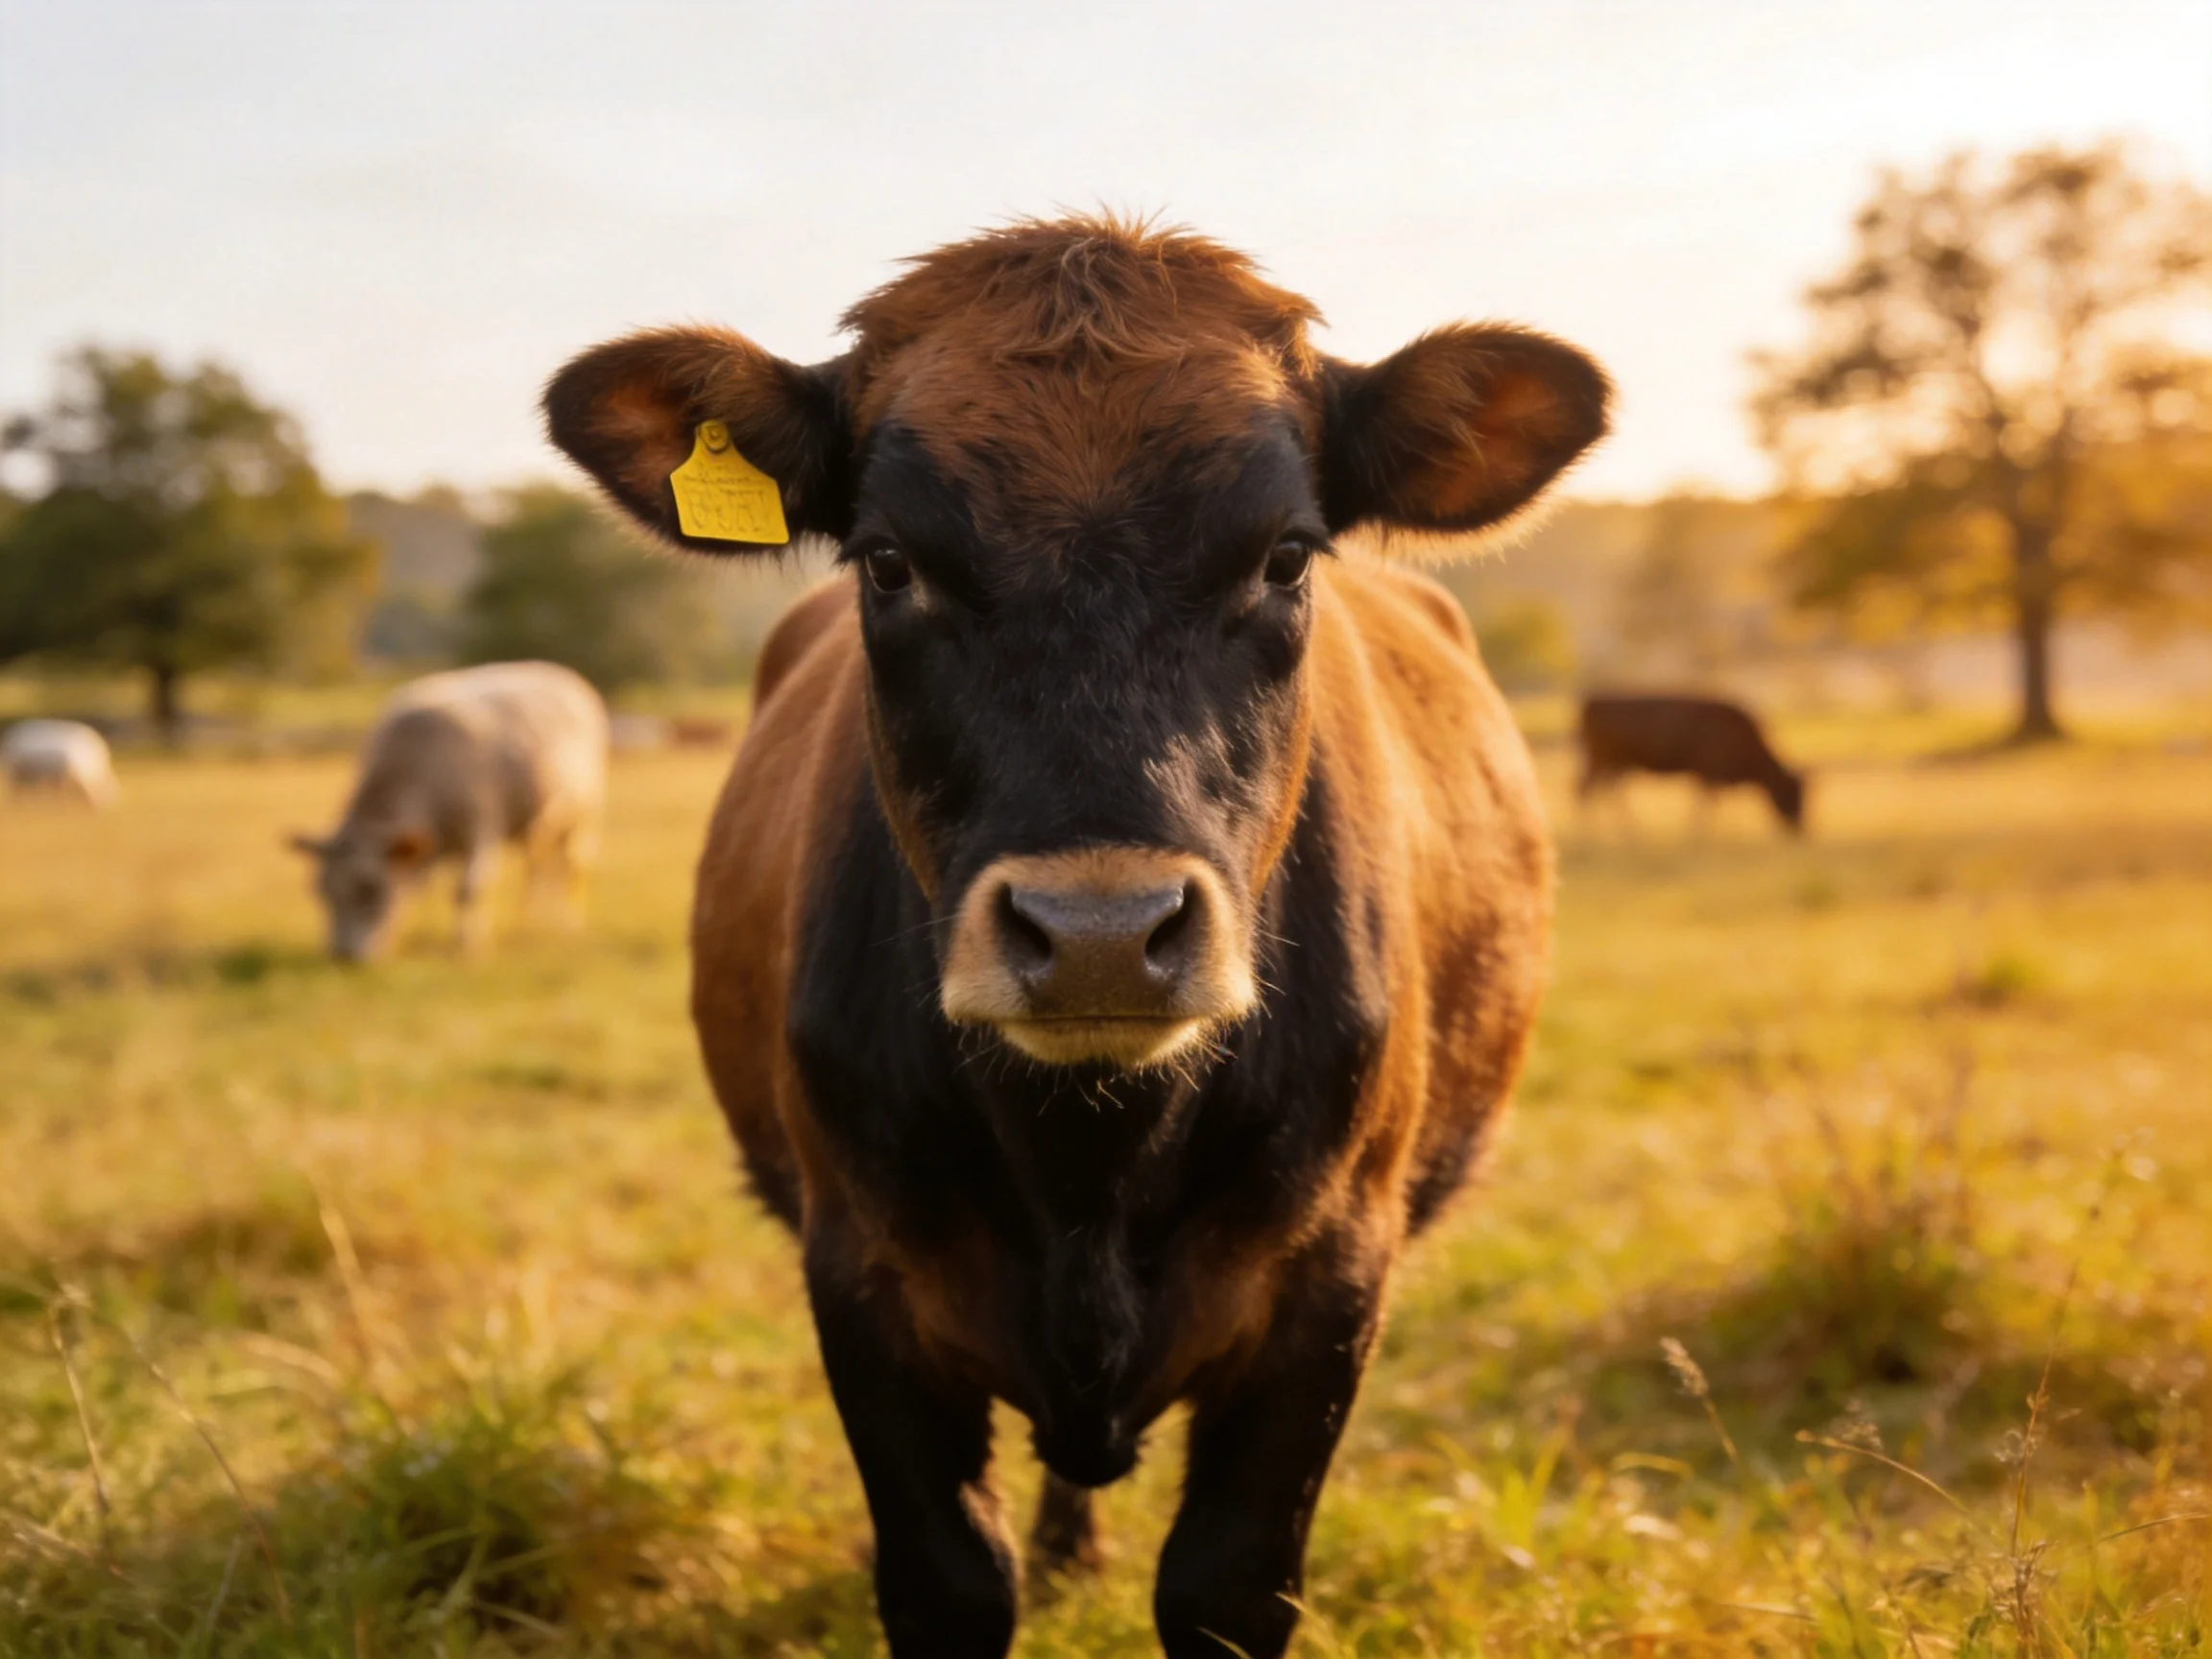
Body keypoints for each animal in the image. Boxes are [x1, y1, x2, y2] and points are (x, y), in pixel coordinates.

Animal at [288, 662, 608, 961]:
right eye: (322, 891)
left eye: (369, 887)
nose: (343, 956)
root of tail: (562, 674)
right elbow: (422, 893)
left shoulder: (482, 828)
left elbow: (468, 891)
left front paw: (469, 947)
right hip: (537, 824)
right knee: (537, 867)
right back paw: (529, 919)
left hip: (584, 812)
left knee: (575, 864)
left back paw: (568, 922)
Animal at [545, 215, 1608, 1658]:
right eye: (889, 561)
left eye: (1287, 556)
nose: (1100, 931)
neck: (1089, 1167)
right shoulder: (862, 1272)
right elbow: (949, 1579)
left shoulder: (1331, 1276)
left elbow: (1226, 1586)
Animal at [1577, 692, 1806, 834]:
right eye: (1790, 792)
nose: (1800, 829)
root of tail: (1593, 702)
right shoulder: (1711, 775)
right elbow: (1707, 805)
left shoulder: (1709, 777)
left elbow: (1707, 805)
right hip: (1603, 762)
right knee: (1588, 791)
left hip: (1614, 765)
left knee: (1604, 793)